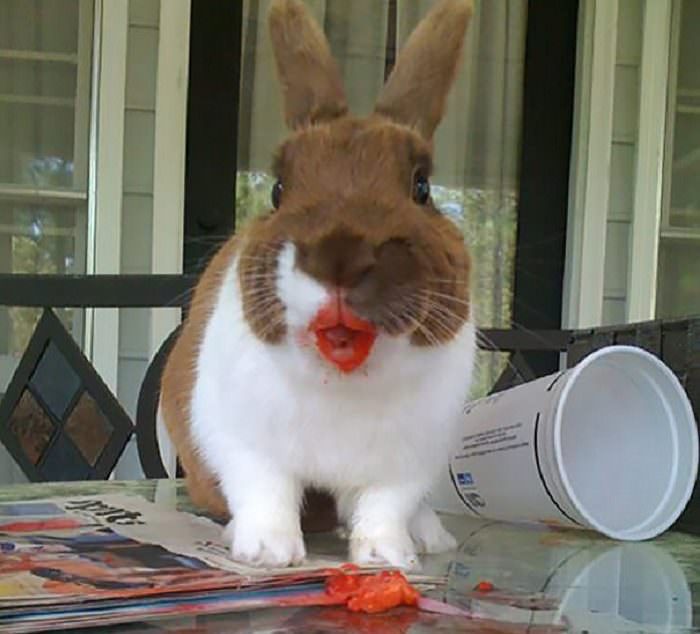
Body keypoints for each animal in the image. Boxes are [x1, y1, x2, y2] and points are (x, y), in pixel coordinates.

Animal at [160, 0, 476, 568]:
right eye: (279, 188)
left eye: (421, 186)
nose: (340, 257)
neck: (342, 380)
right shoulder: (245, 444)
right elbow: (265, 493)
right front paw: (266, 553)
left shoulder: (405, 464)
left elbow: (384, 508)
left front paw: (387, 559)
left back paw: (431, 538)